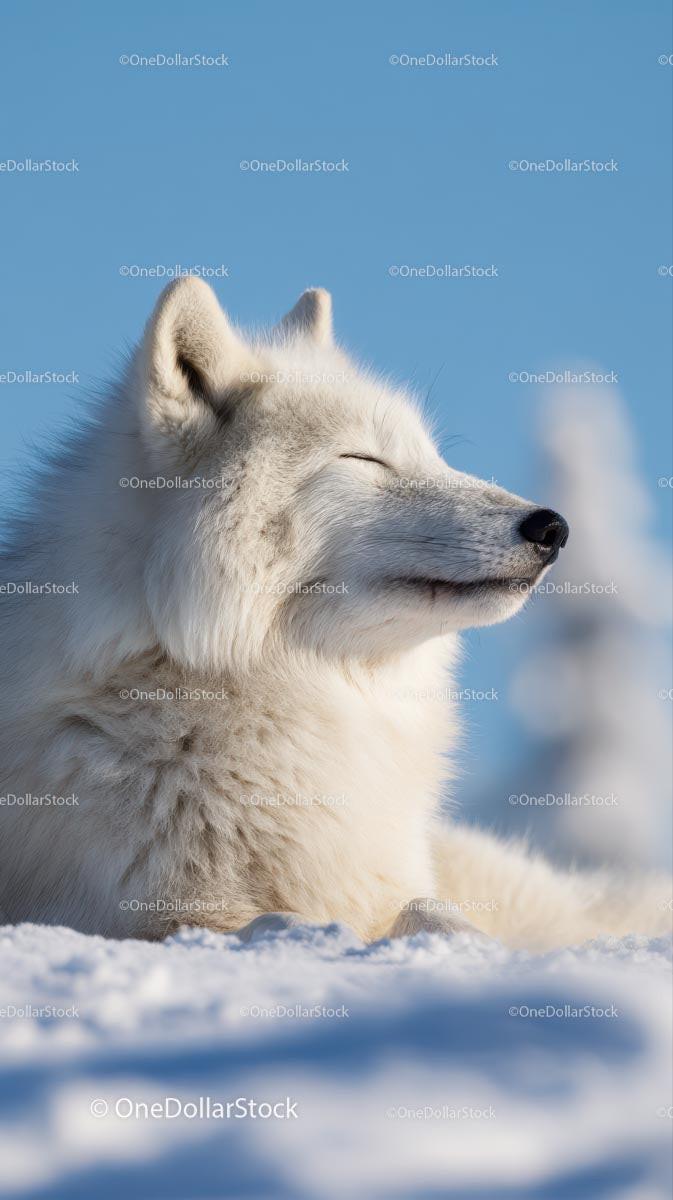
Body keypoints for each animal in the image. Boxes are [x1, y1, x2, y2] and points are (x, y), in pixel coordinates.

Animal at [0, 278, 668, 949]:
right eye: (363, 459)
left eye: (435, 458)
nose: (553, 527)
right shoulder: (136, 914)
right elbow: (276, 920)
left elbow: (427, 908)